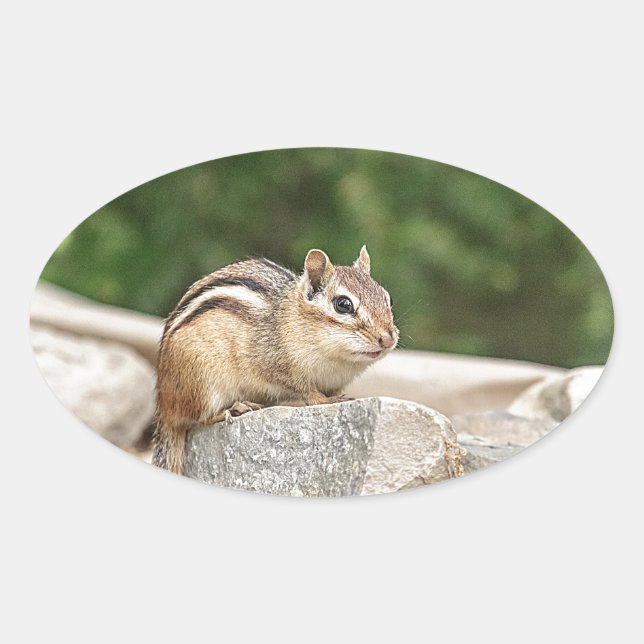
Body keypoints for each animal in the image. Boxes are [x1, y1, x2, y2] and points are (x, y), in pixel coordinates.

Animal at [152, 245, 399, 474]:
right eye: (343, 304)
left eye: (388, 298)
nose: (388, 339)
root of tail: (164, 406)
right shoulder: (276, 366)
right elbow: (307, 392)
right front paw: (327, 400)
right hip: (203, 383)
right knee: (199, 418)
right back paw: (233, 409)